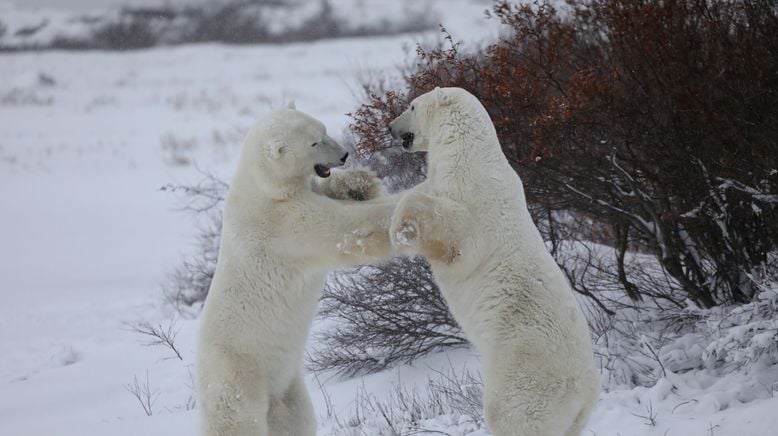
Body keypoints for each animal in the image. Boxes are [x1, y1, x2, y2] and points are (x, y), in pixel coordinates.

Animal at [197, 103, 398, 436]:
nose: (344, 155)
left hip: (288, 387)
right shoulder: (283, 224)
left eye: (323, 129)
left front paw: (359, 183)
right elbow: (343, 227)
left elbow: (330, 192)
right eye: (313, 143)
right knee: (237, 421)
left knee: (297, 421)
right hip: (238, 376)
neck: (263, 186)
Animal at [388, 87, 600, 434]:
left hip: (525, 373)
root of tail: (587, 392)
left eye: (412, 106)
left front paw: (401, 229)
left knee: (511, 414)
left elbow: (460, 236)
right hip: (569, 414)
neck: (468, 152)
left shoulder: (478, 198)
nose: (391, 127)